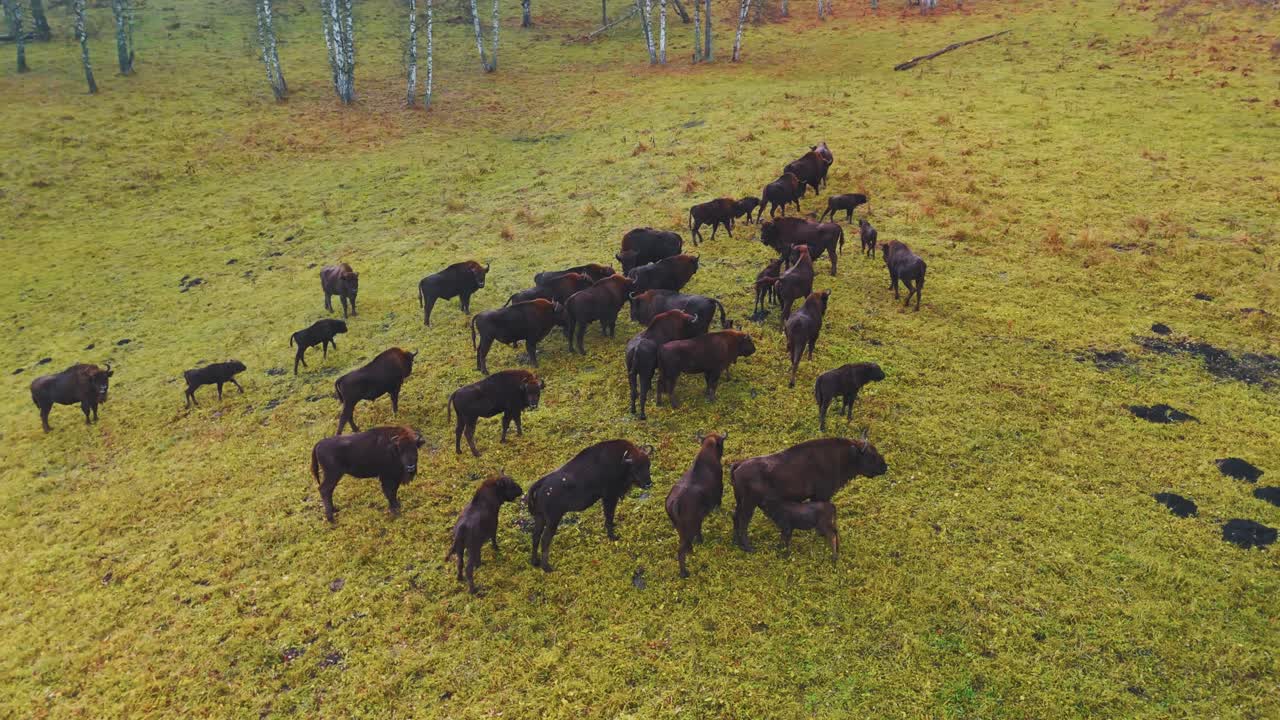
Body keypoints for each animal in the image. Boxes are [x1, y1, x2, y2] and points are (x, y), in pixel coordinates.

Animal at [526, 440, 653, 572]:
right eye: (636, 467)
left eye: (648, 464)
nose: (648, 484)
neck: (621, 462)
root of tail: (540, 483)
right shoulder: (609, 497)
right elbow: (609, 516)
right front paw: (613, 536)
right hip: (553, 520)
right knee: (545, 540)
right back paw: (547, 568)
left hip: (540, 517)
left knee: (535, 536)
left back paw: (535, 562)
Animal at [730, 434, 886, 552]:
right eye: (871, 455)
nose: (885, 467)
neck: (844, 456)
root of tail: (739, 464)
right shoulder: (822, 495)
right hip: (749, 503)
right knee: (743, 521)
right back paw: (749, 548)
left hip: (740, 501)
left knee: (735, 517)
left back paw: (736, 542)